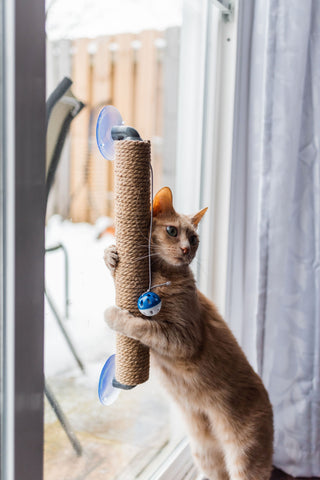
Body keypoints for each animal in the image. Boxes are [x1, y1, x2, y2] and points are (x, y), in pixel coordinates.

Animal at [104, 186, 274, 478]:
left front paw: (116, 316)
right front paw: (111, 255)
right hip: (204, 453)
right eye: (172, 231)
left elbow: (144, 325)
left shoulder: (183, 340)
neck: (161, 277)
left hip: (245, 459)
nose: (186, 248)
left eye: (194, 238)